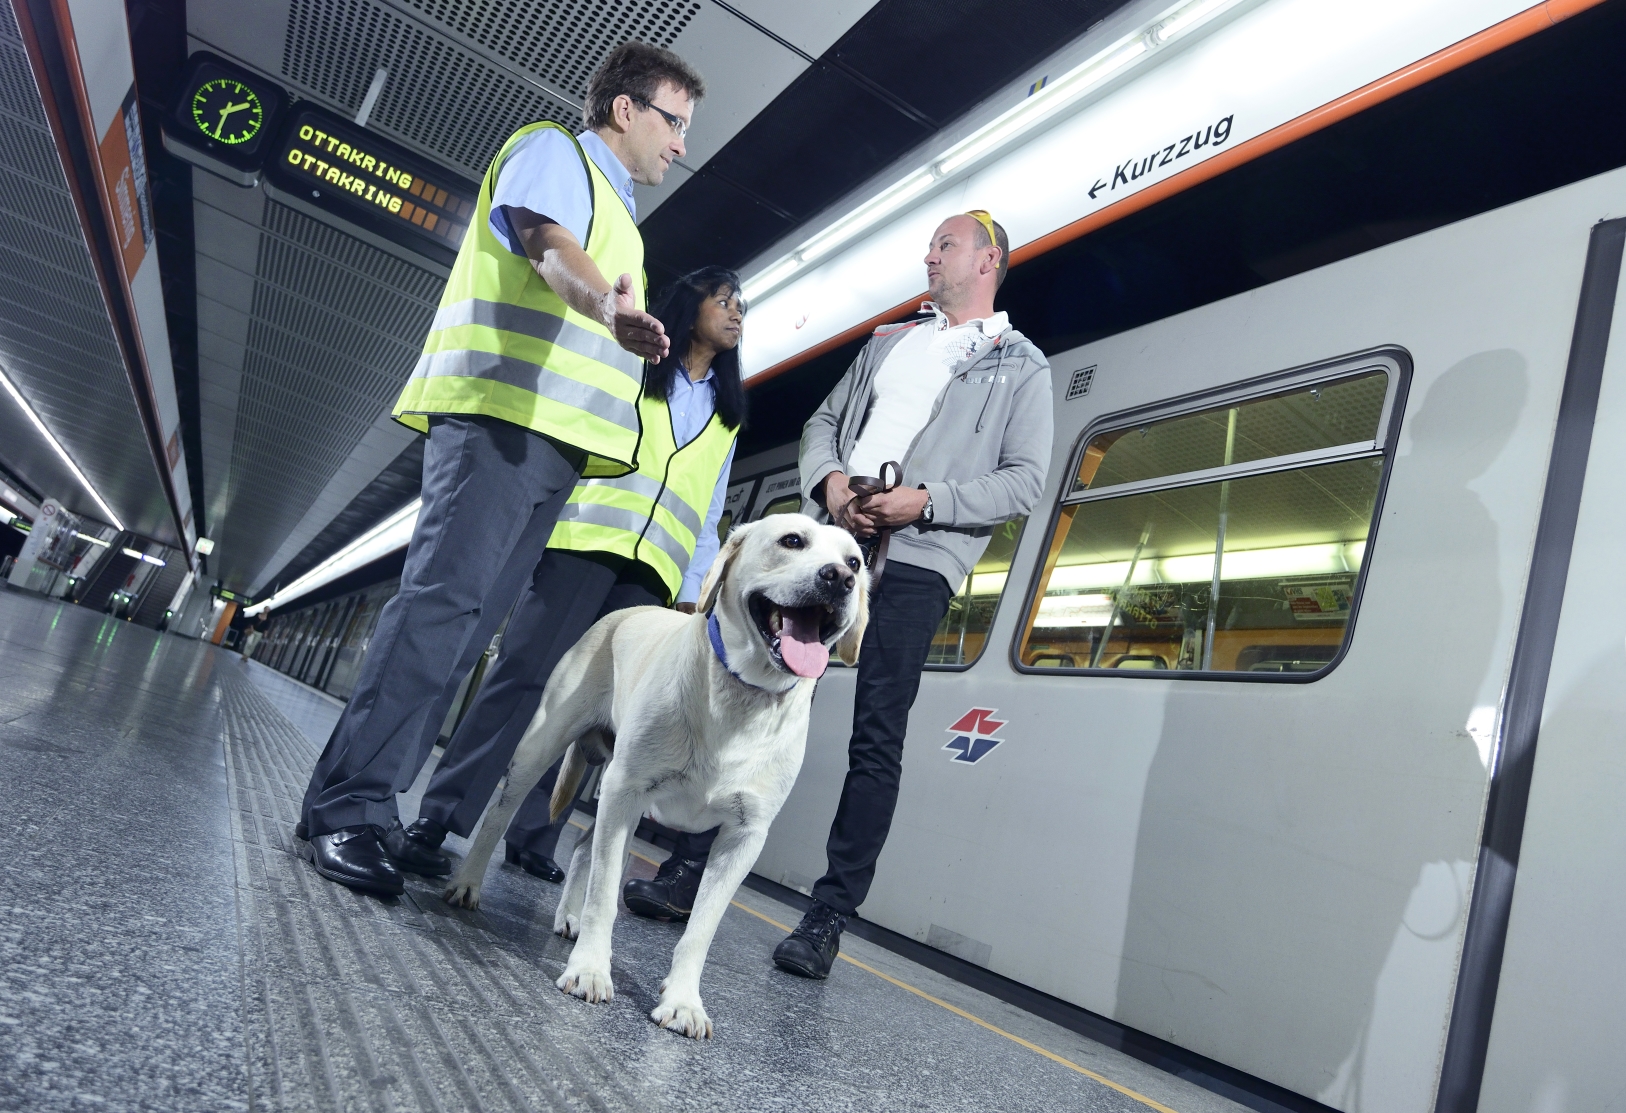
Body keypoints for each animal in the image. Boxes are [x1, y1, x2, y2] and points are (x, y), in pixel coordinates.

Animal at [439, 516, 871, 1039]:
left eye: (856, 562)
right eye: (792, 541)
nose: (840, 578)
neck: (742, 695)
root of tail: (628, 611)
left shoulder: (743, 837)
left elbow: (699, 930)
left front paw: (683, 1001)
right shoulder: (624, 793)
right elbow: (605, 896)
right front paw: (591, 969)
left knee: (583, 846)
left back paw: (568, 915)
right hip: (544, 751)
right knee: (499, 817)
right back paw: (468, 884)